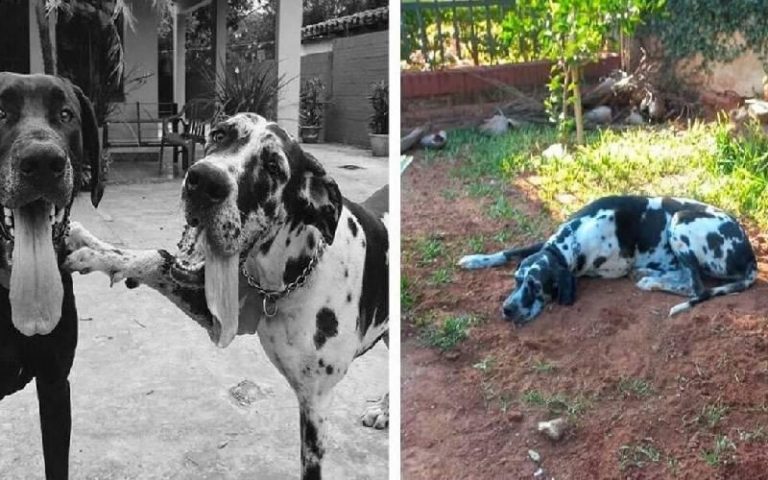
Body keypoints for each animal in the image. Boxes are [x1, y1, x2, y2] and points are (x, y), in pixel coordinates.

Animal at [62, 113, 388, 480]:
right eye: (219, 134)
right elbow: (158, 259)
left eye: (273, 167)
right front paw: (94, 248)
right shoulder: (220, 317)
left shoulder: (316, 407)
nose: (204, 181)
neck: (291, 275)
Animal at [460, 194, 760, 322]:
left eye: (535, 286)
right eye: (516, 280)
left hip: (680, 219)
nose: (507, 309)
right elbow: (510, 251)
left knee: (694, 286)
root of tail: (751, 257)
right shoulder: (544, 244)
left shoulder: (612, 267)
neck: (573, 240)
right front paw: (476, 259)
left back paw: (651, 280)